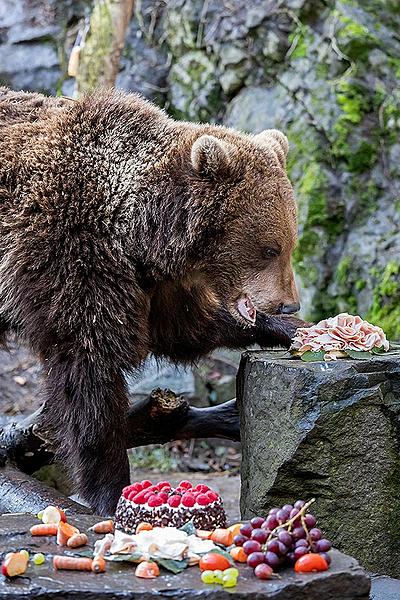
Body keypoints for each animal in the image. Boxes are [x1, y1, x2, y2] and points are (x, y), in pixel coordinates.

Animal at [0, 86, 302, 512]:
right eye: (269, 249)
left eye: (291, 242)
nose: (288, 303)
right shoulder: (71, 254)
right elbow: (89, 373)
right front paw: (109, 489)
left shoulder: (157, 286)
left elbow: (186, 329)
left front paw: (291, 329)